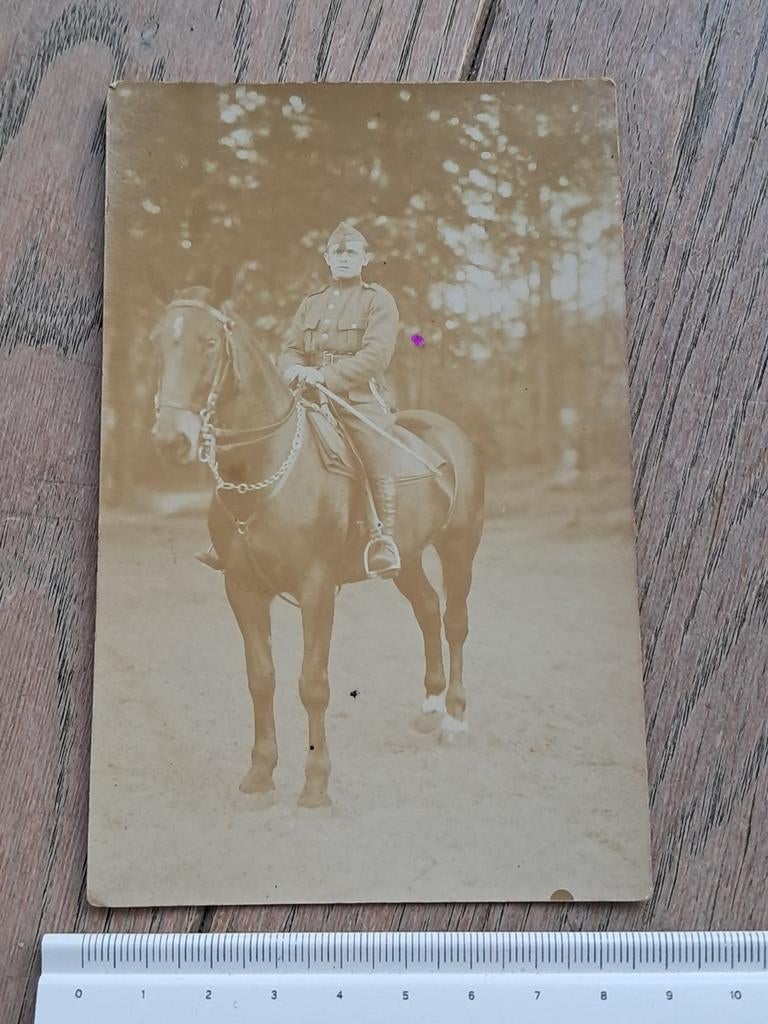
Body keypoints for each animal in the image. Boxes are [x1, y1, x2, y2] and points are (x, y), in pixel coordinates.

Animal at [151, 285, 485, 807]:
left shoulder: (316, 589)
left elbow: (312, 684)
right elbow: (260, 677)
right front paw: (260, 772)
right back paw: (430, 707)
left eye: (208, 344)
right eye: (159, 343)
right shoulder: (242, 589)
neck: (266, 467)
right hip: (408, 558)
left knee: (454, 622)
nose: (170, 439)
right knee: (429, 610)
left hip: (459, 549)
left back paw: (454, 717)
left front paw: (316, 782)